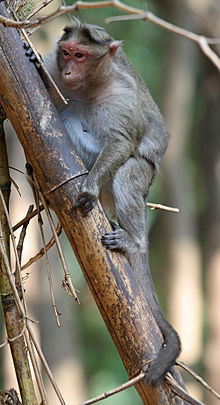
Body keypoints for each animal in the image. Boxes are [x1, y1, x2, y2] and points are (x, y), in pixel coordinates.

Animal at [24, 19, 181, 386]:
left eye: (81, 56)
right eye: (67, 53)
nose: (69, 70)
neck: (90, 85)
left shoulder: (122, 98)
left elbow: (121, 142)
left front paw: (90, 188)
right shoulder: (55, 69)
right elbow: (49, 108)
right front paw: (34, 65)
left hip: (142, 178)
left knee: (126, 173)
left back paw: (132, 240)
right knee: (68, 117)